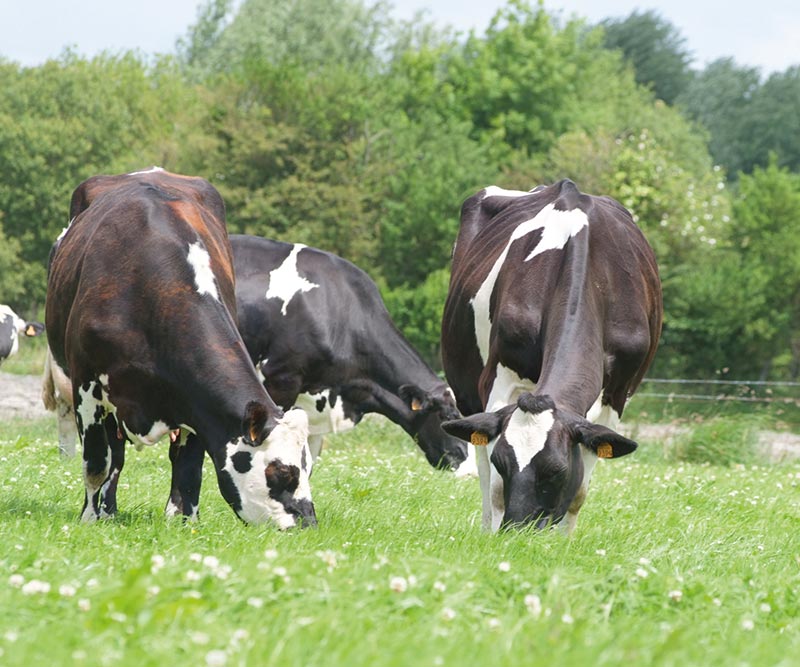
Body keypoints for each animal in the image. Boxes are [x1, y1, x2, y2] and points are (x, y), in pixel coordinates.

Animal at [46, 168, 316, 532]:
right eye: (281, 472)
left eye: (308, 468)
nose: (308, 524)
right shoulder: (86, 385)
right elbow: (97, 462)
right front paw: (90, 516)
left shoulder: (196, 401)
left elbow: (188, 465)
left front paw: (184, 520)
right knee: (114, 456)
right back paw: (107, 510)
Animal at [440, 180, 660, 536]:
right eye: (502, 461)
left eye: (556, 470)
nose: (517, 530)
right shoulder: (498, 379)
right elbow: (493, 480)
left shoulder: (618, 393)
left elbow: (581, 485)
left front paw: (564, 538)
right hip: (466, 387)